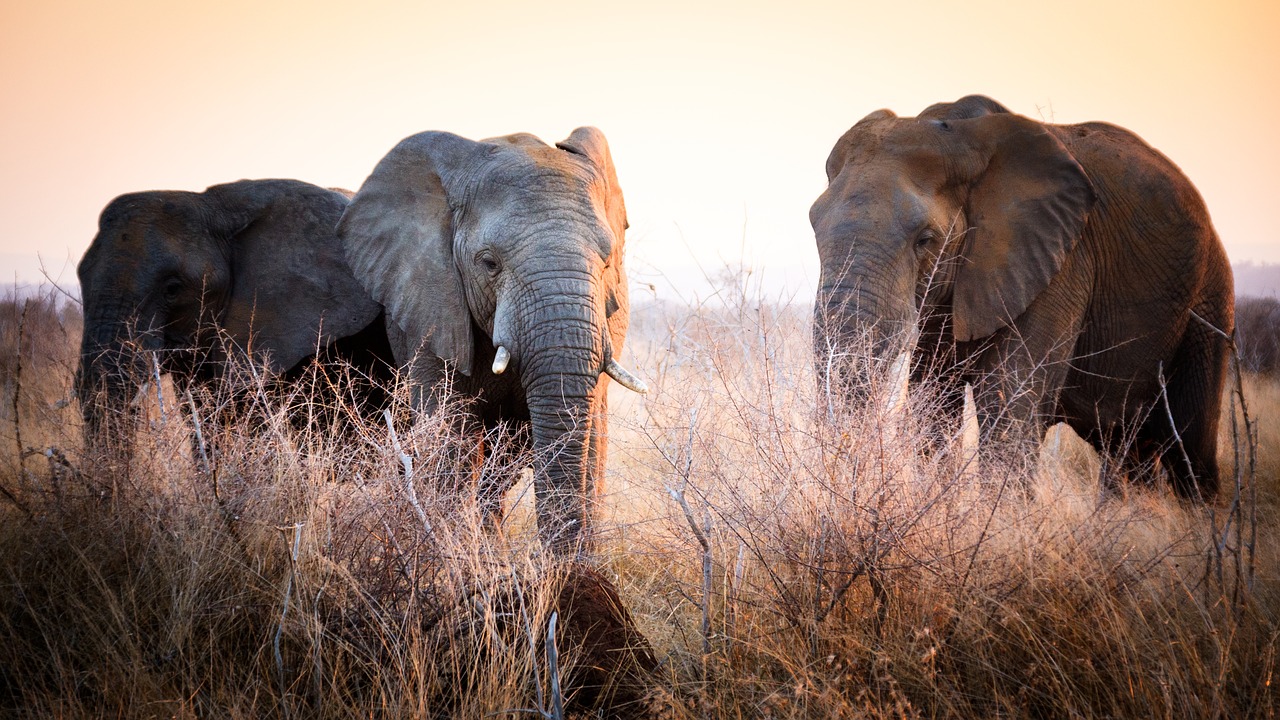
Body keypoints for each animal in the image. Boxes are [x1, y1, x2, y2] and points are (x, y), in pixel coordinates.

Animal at [335, 126, 645, 550]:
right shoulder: (428, 305)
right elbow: (451, 432)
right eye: (489, 263)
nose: (564, 564)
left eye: (608, 261)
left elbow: (588, 435)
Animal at [814, 94, 1233, 499]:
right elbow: (933, 406)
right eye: (813, 225)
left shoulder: (1060, 262)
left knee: (1190, 450)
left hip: (1209, 300)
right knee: (1125, 449)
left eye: (925, 240)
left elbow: (1007, 413)